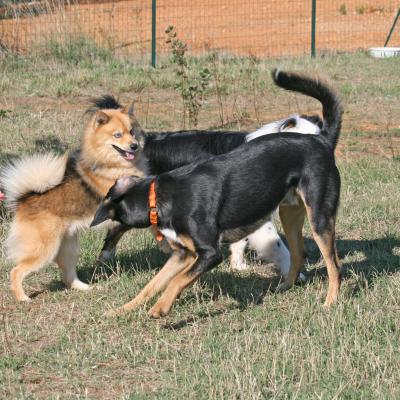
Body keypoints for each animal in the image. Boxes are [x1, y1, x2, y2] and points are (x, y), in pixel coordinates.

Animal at [91, 69, 344, 318]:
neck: (161, 197)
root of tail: (321, 139)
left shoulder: (209, 253)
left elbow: (176, 282)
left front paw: (159, 309)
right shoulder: (183, 255)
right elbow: (153, 284)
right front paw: (124, 309)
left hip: (319, 217)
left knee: (334, 265)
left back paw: (330, 302)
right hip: (290, 214)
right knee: (298, 253)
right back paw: (285, 287)